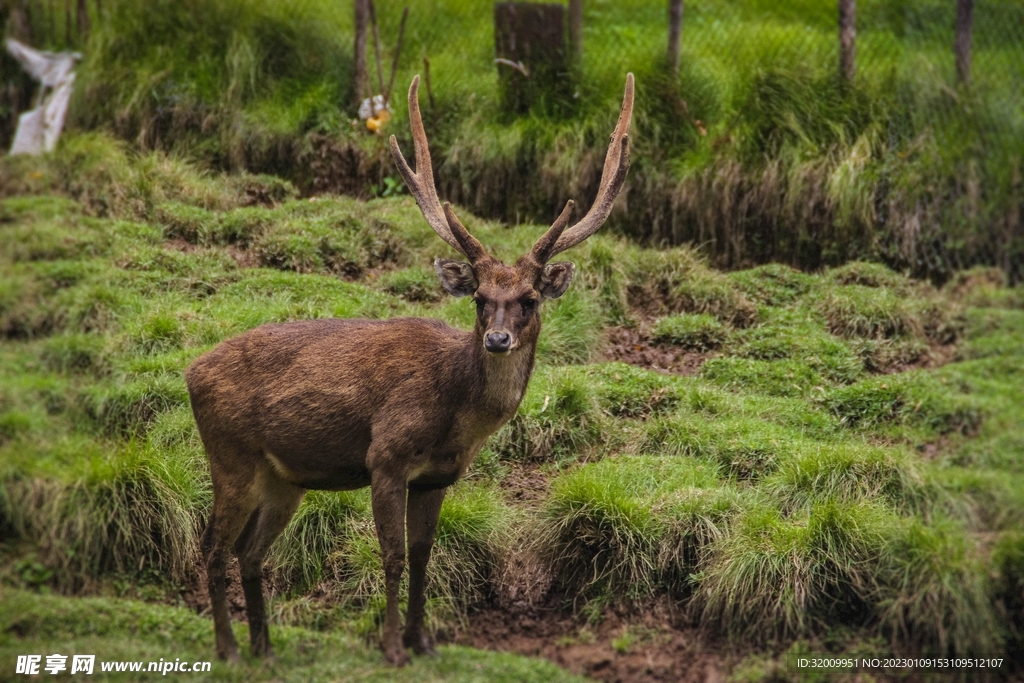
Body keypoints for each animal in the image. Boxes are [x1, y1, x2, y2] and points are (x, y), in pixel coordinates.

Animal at [185, 73, 633, 666]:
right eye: (479, 299)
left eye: (530, 298)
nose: (497, 339)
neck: (456, 418)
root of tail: (190, 374)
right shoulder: (386, 456)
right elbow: (393, 557)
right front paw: (393, 645)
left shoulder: (437, 477)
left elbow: (424, 557)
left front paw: (425, 641)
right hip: (229, 455)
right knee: (213, 546)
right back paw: (230, 648)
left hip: (283, 479)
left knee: (249, 552)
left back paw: (264, 646)